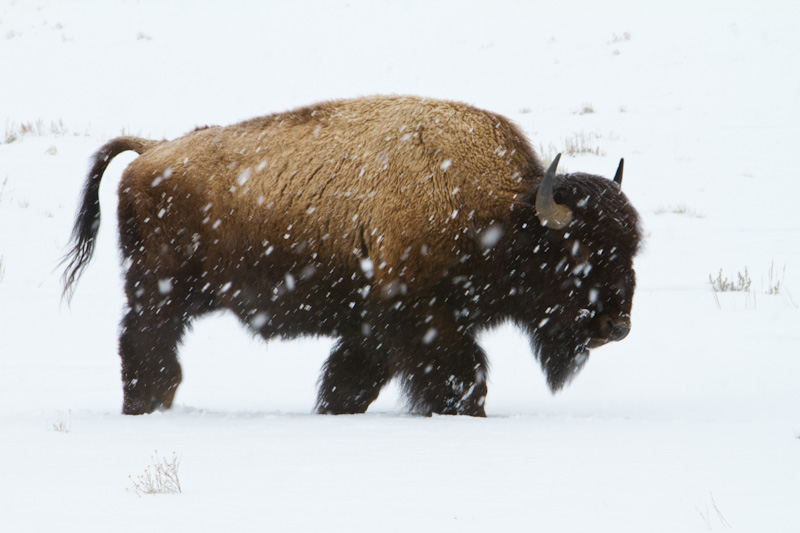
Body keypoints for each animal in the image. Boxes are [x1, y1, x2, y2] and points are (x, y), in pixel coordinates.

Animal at [62, 94, 640, 416]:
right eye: (578, 253)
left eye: (633, 248)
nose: (618, 325)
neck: (505, 214)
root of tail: (150, 151)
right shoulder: (425, 321)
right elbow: (461, 377)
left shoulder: (371, 327)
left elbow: (349, 383)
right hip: (159, 294)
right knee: (146, 350)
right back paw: (144, 409)